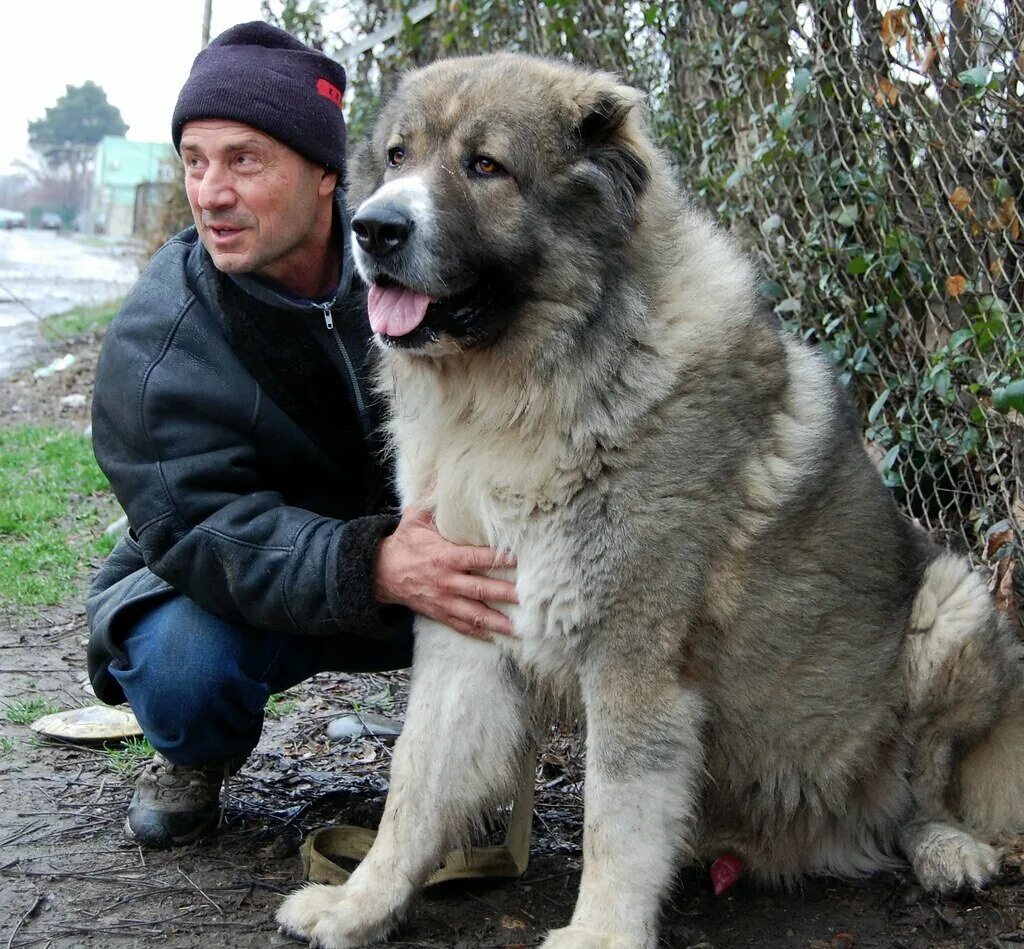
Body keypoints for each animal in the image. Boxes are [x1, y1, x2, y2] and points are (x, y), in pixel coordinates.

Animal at [278, 53, 1024, 949]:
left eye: (485, 166)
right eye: (397, 156)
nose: (374, 228)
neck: (532, 392)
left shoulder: (635, 654)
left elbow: (617, 810)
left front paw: (599, 934)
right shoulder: (467, 627)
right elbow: (414, 782)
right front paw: (360, 903)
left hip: (952, 603)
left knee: (924, 791)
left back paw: (947, 847)